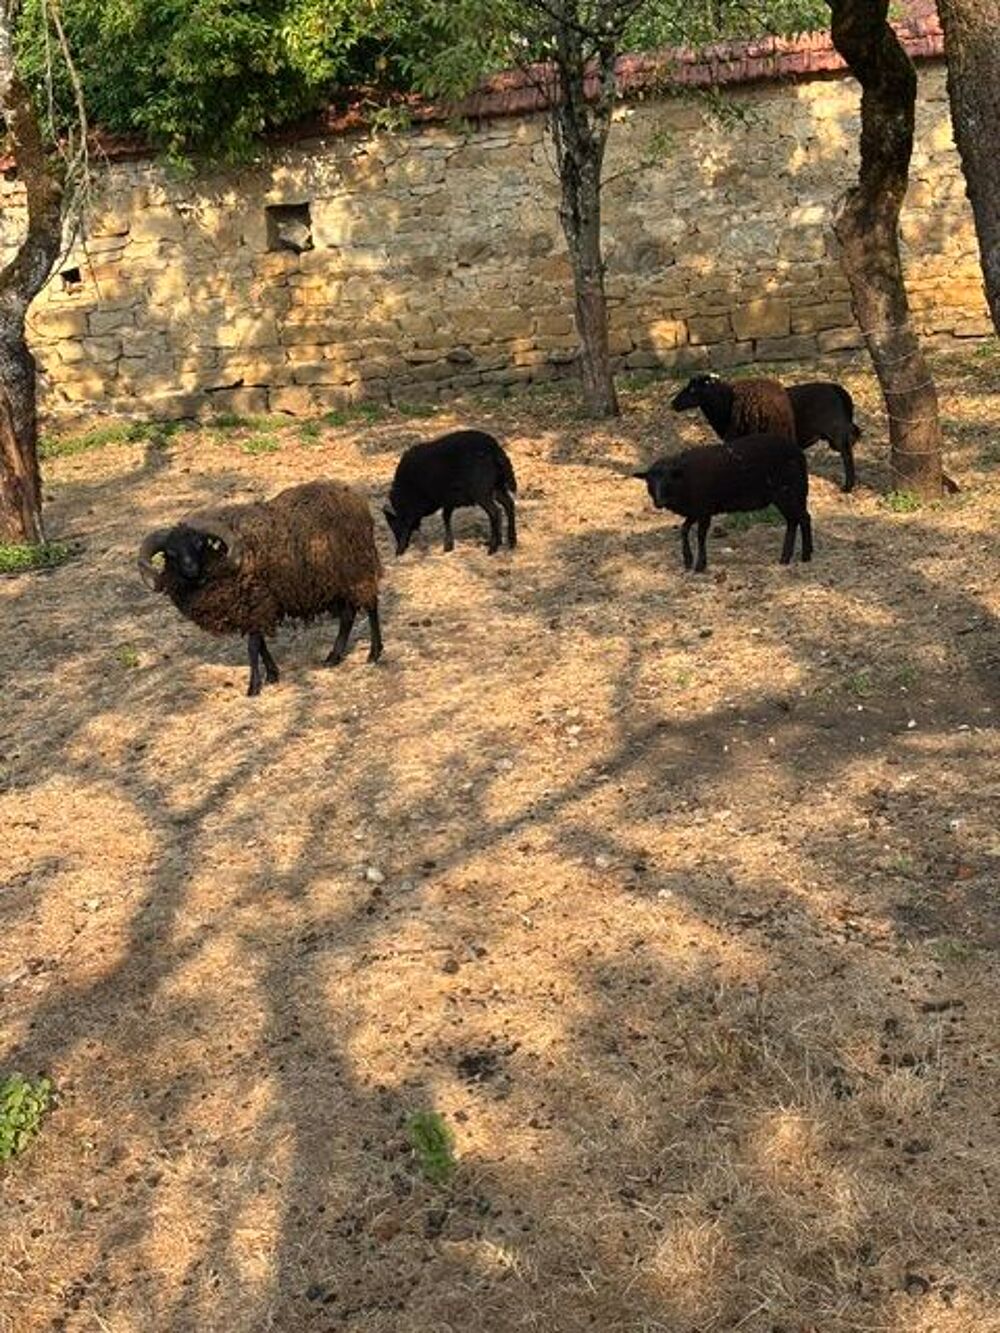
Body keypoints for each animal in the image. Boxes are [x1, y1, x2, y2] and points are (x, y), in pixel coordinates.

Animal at [138, 480, 383, 697]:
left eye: (199, 544)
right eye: (170, 553)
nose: (190, 568)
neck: (221, 564)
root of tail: (353, 496)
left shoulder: (256, 603)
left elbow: (253, 646)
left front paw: (253, 687)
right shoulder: (253, 610)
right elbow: (262, 644)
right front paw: (272, 675)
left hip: (358, 568)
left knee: (370, 605)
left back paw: (374, 652)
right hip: (335, 581)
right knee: (348, 615)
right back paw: (334, 656)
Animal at [383, 429, 517, 556]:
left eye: (394, 527)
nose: (399, 549)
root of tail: (494, 448)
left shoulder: (441, 499)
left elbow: (443, 517)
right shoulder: (448, 499)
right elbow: (446, 516)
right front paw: (449, 545)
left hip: (481, 491)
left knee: (495, 512)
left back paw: (493, 548)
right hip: (497, 486)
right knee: (509, 505)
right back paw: (511, 541)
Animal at [633, 434, 813, 573]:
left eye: (668, 479)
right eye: (649, 482)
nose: (659, 502)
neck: (684, 480)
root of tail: (798, 452)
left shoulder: (704, 510)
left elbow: (700, 535)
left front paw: (700, 565)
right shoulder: (696, 511)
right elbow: (684, 530)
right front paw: (688, 560)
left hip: (787, 492)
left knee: (802, 518)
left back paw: (805, 556)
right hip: (790, 494)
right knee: (795, 520)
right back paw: (787, 558)